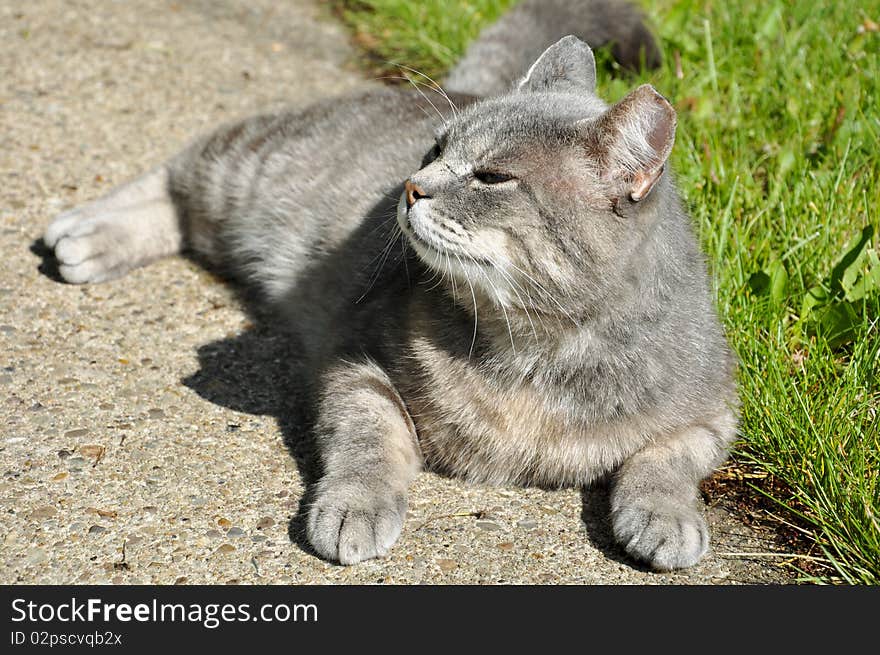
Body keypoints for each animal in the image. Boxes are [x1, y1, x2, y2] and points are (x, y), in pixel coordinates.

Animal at [43, 6, 736, 576]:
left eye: (491, 177)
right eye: (435, 149)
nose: (410, 185)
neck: (537, 352)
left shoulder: (714, 411)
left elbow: (666, 459)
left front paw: (668, 517)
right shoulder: (355, 358)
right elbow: (371, 438)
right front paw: (357, 505)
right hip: (247, 166)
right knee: (175, 176)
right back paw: (85, 234)